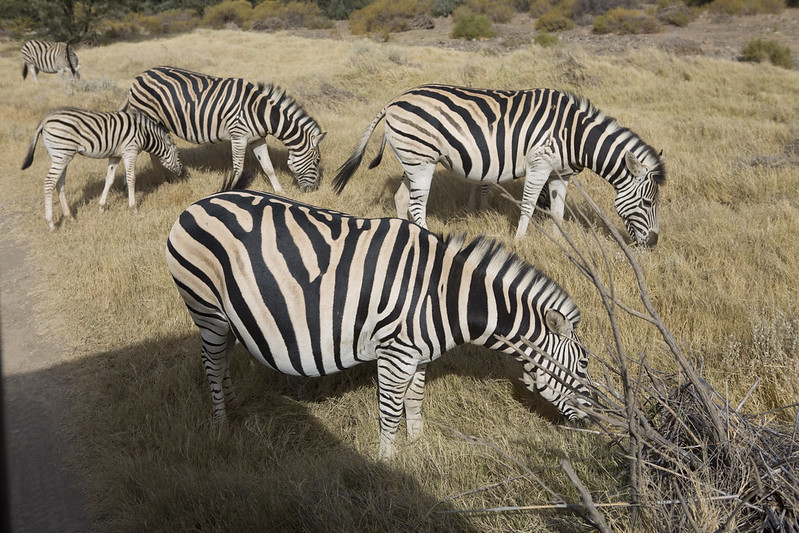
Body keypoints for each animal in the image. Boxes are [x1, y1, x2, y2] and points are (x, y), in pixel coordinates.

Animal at [22, 107, 186, 230]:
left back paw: (70, 218)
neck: (145, 134)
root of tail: (46, 119)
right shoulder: (130, 152)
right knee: (49, 182)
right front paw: (133, 209)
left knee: (59, 183)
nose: (182, 174)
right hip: (62, 153)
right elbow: (131, 178)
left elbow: (110, 179)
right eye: (178, 154)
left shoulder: (115, 156)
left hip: (62, 155)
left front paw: (101, 207)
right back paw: (51, 224)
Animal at [120, 65, 326, 192]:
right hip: (148, 118)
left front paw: (280, 191)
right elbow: (238, 169)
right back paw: (161, 182)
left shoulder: (258, 138)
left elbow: (268, 167)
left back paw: (162, 182)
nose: (313, 190)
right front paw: (233, 190)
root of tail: (139, 76)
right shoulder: (238, 137)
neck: (260, 112)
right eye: (317, 161)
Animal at [167, 190, 592, 458]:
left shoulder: (418, 355)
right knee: (211, 364)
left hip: (231, 316)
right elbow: (389, 409)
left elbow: (415, 401)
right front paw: (388, 462)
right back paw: (222, 424)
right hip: (206, 309)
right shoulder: (395, 354)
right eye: (585, 366)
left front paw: (418, 444)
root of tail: (194, 206)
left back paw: (235, 405)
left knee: (224, 360)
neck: (443, 294)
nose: (593, 422)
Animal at [334, 84, 664, 246]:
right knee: (417, 205)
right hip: (420, 159)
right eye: (648, 203)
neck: (575, 135)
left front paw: (562, 240)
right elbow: (529, 203)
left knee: (402, 198)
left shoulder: (561, 174)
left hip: (413, 160)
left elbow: (558, 209)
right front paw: (519, 240)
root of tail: (393, 101)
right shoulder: (539, 163)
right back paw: (429, 240)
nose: (654, 243)